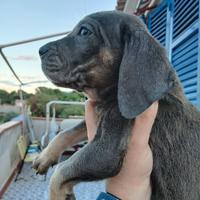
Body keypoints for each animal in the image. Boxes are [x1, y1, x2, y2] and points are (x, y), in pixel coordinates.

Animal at [32, 11, 200, 200]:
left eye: (84, 32)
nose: (40, 50)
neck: (110, 93)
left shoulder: (106, 151)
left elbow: (61, 171)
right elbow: (65, 133)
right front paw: (45, 157)